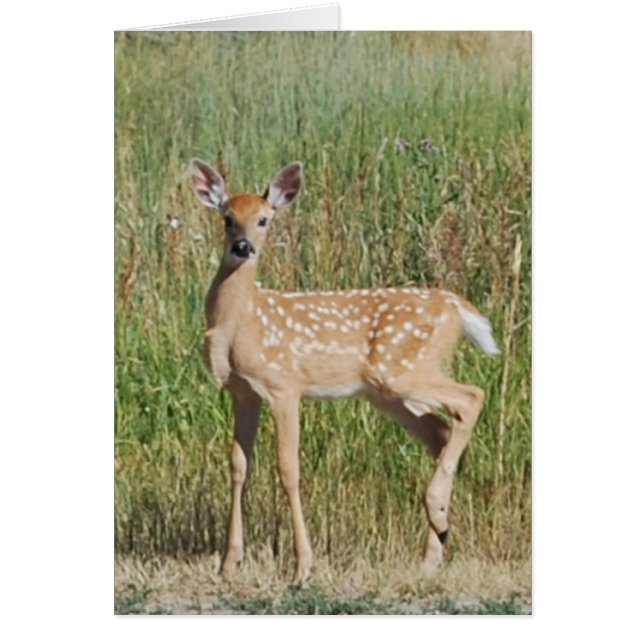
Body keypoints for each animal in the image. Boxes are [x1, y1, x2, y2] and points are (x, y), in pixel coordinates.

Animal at [189, 158, 500, 584]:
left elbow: (288, 468)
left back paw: (436, 514)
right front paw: (228, 563)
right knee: (441, 431)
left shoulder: (284, 384)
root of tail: (456, 306)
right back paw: (432, 553)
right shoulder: (243, 392)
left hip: (403, 370)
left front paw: (303, 566)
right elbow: (238, 466)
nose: (242, 247)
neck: (240, 322)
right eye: (227, 218)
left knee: (471, 397)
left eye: (264, 220)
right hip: (386, 391)